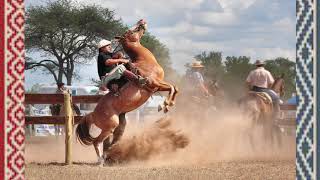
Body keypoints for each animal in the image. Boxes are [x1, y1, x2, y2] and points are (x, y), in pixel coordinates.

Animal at [76, 19, 179, 165]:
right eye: (130, 31)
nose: (142, 21)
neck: (144, 62)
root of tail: (93, 114)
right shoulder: (154, 83)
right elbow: (171, 88)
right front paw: (163, 105)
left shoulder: (157, 86)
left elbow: (174, 88)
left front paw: (168, 105)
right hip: (110, 126)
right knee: (97, 142)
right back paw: (101, 160)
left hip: (120, 124)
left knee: (110, 142)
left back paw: (111, 156)